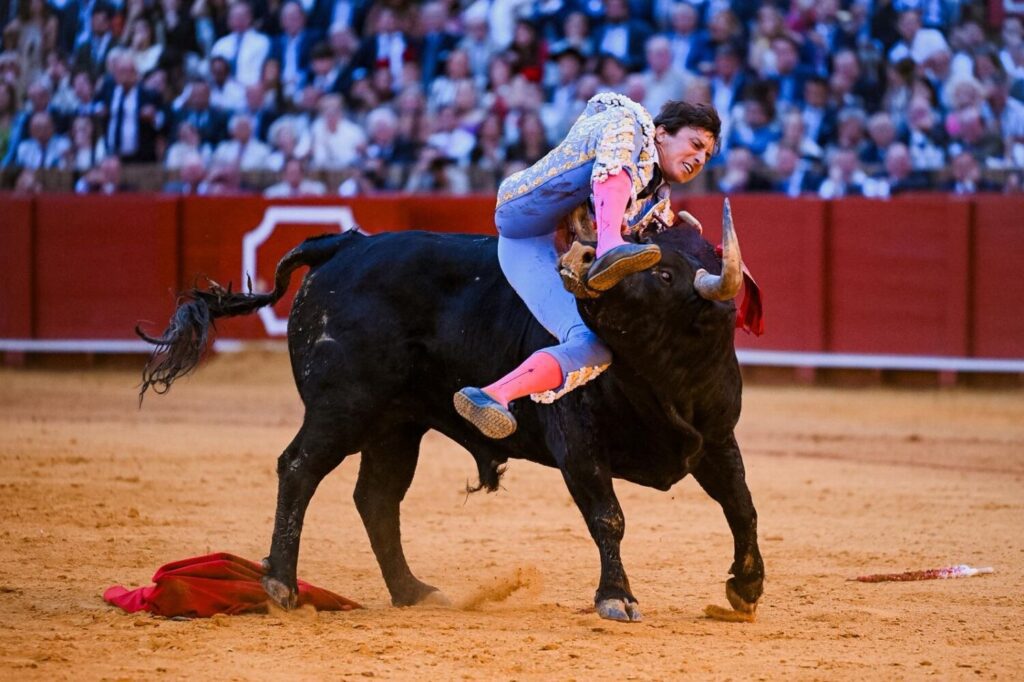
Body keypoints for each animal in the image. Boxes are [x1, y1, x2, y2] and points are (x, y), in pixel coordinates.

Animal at [137, 199, 764, 623]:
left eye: (665, 272)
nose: (583, 262)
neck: (662, 375)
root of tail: (348, 245)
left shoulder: (717, 439)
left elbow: (741, 506)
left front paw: (747, 588)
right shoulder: (578, 442)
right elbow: (608, 515)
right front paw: (617, 598)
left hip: (396, 425)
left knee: (376, 497)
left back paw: (413, 591)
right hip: (343, 406)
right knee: (299, 468)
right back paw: (282, 586)